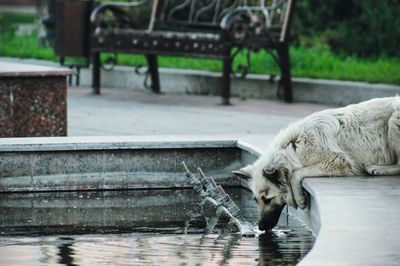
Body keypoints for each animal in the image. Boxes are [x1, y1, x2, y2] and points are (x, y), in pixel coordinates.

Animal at [233, 97, 400, 231]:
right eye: (256, 200)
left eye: (267, 200)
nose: (260, 227)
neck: (294, 147)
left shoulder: (336, 161)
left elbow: (295, 174)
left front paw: (299, 199)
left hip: (394, 121)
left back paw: (378, 169)